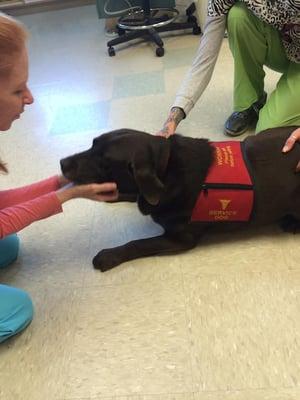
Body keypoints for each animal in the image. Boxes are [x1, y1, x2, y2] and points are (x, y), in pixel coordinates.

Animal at [60, 126, 300, 272]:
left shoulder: (181, 238)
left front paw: (110, 255)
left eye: (104, 162)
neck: (166, 167)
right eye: (92, 144)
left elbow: (138, 243)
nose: (62, 163)